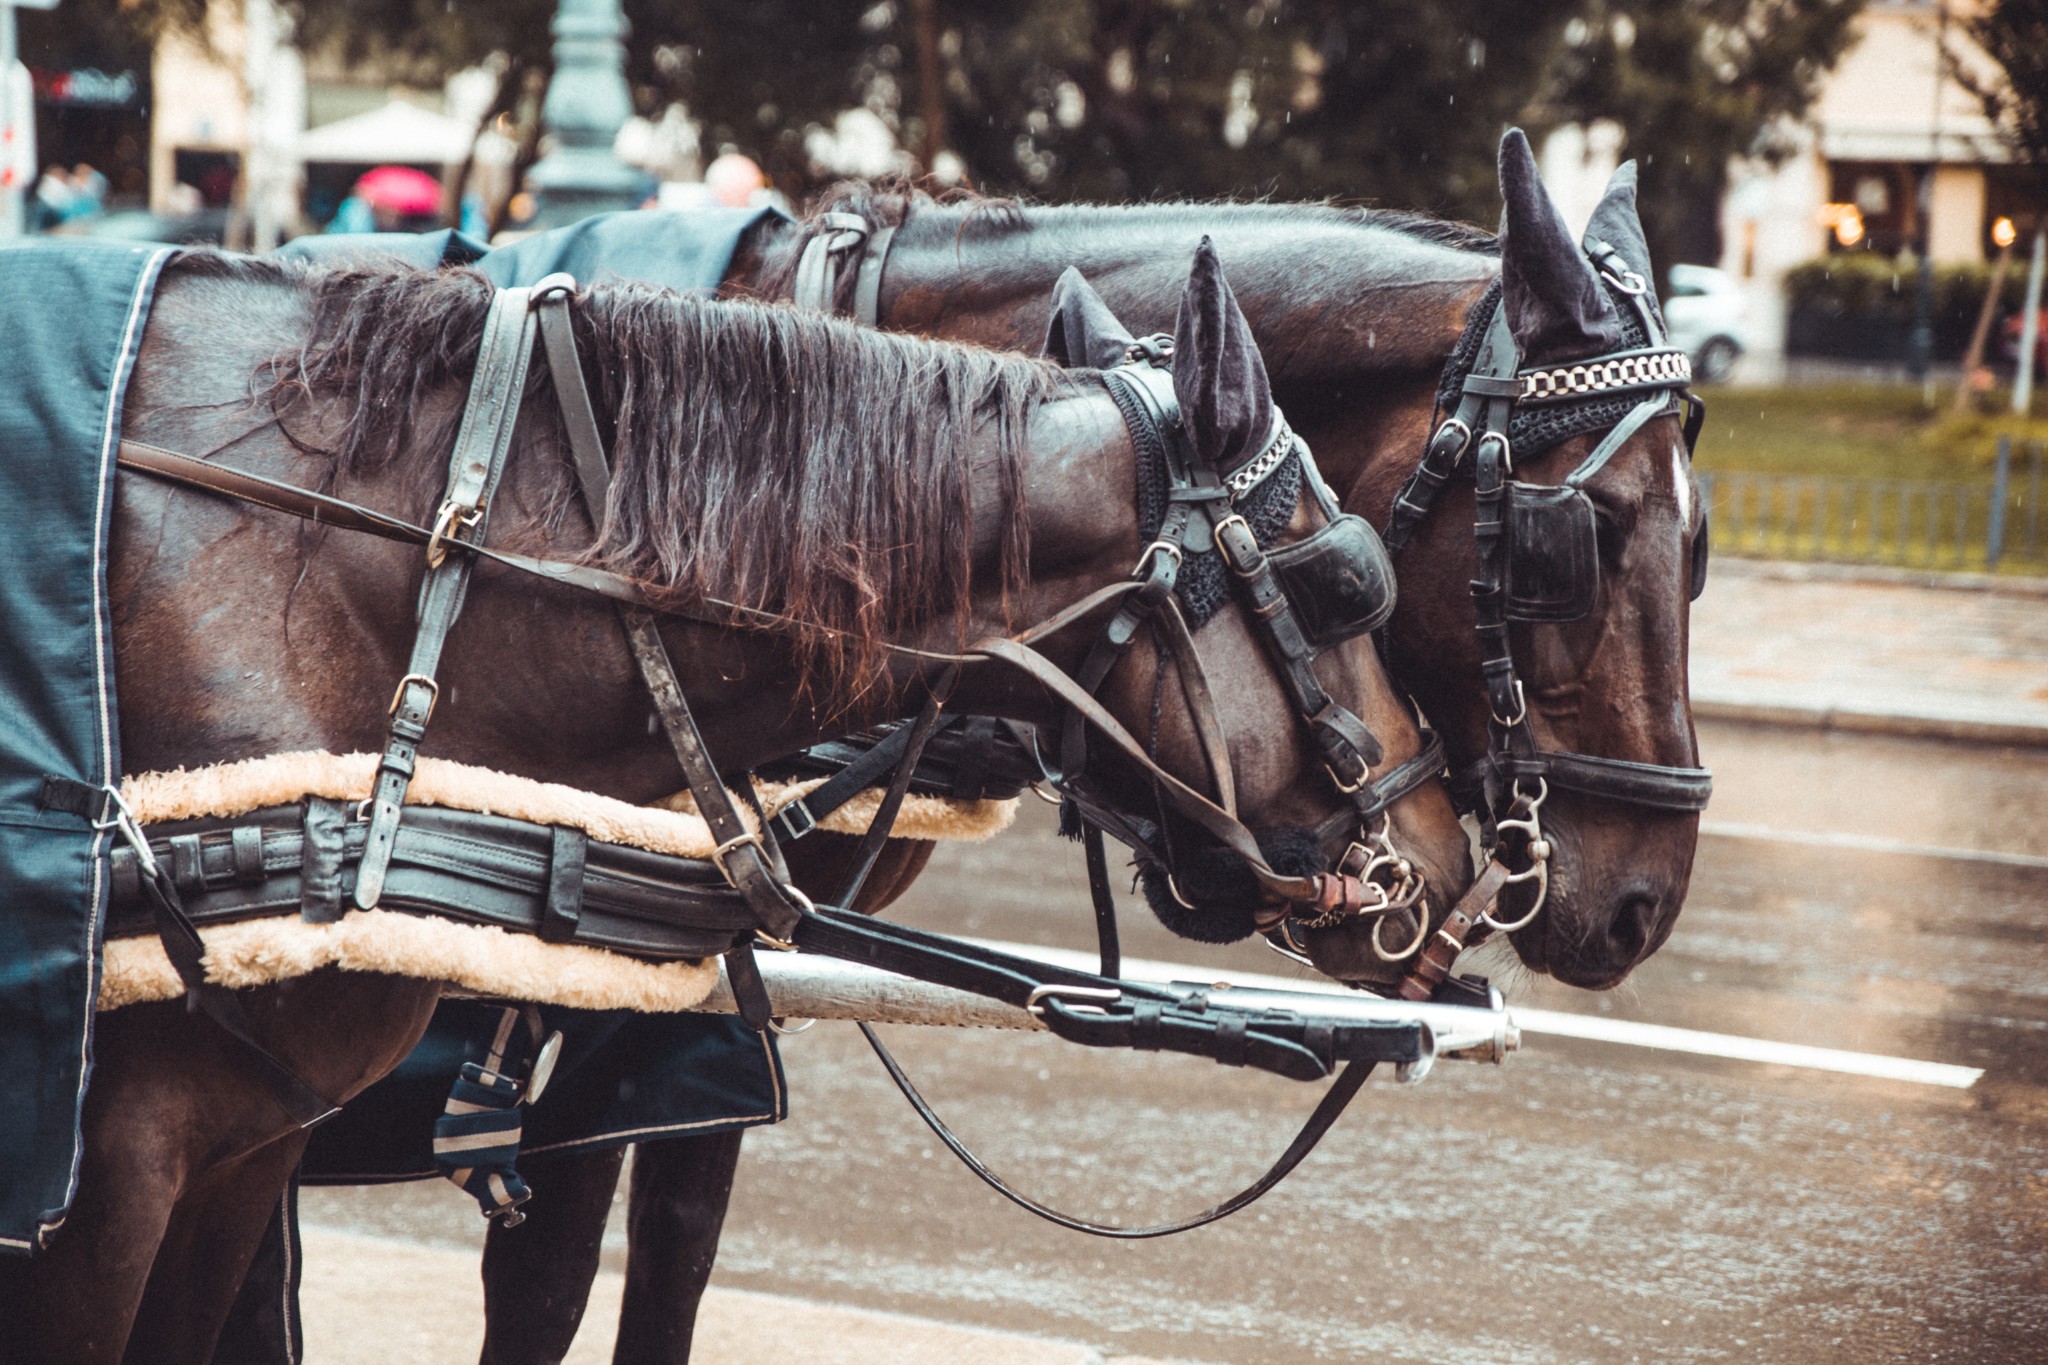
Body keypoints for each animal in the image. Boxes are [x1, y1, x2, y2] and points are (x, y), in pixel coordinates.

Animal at [452, 133, 1712, 1358]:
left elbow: (674, 1255)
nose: (1638, 904)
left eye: (1698, 541)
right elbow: (549, 1274)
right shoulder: (600, 983)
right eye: (1583, 533)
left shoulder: (726, 991)